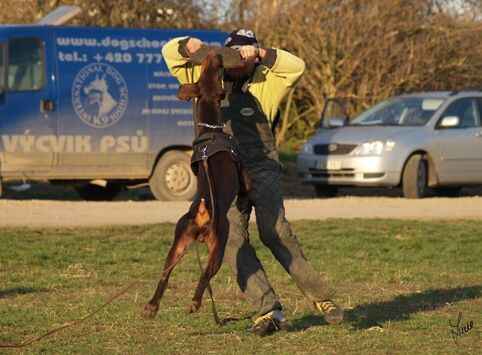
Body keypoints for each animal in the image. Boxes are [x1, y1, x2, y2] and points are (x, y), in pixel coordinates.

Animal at [139, 49, 249, 318]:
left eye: (206, 72)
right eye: (213, 72)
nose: (212, 53)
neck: (210, 130)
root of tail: (201, 209)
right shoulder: (243, 174)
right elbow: (247, 189)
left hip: (179, 240)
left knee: (165, 275)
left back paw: (151, 306)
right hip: (219, 244)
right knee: (205, 275)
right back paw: (194, 302)